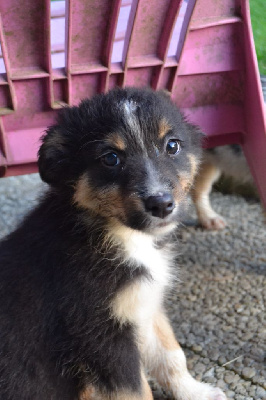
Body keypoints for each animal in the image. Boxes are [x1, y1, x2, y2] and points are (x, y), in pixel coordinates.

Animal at [0, 88, 227, 400]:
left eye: (172, 145)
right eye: (110, 158)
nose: (161, 205)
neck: (121, 237)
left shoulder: (143, 305)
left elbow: (172, 355)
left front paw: (197, 392)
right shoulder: (101, 335)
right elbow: (137, 390)